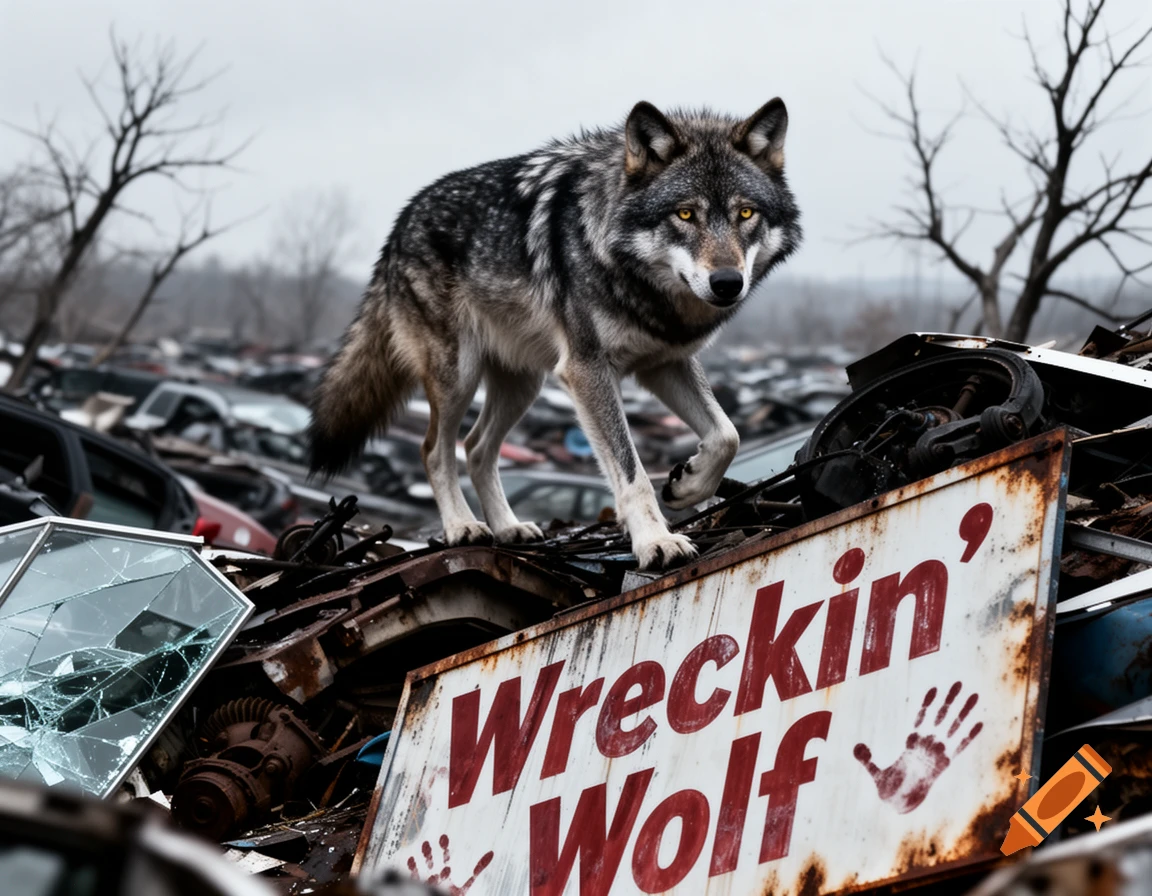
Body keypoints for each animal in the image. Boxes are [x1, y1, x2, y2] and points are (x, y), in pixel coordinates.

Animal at [308, 99, 802, 569]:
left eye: (745, 213)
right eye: (685, 214)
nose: (727, 283)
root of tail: (401, 223)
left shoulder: (665, 363)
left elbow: (728, 435)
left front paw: (688, 486)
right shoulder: (587, 370)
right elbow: (632, 472)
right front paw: (656, 542)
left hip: (525, 384)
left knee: (476, 447)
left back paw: (509, 528)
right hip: (458, 377)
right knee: (435, 450)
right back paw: (462, 528)